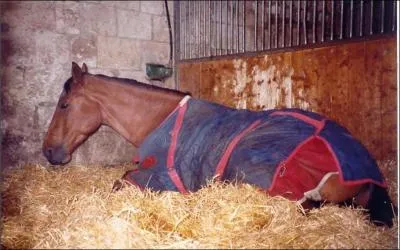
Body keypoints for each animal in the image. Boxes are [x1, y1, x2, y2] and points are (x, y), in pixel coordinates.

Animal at [42, 62, 396, 227]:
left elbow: (116, 185)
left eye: (64, 105)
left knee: (308, 201)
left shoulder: (154, 177)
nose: (48, 151)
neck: (161, 118)